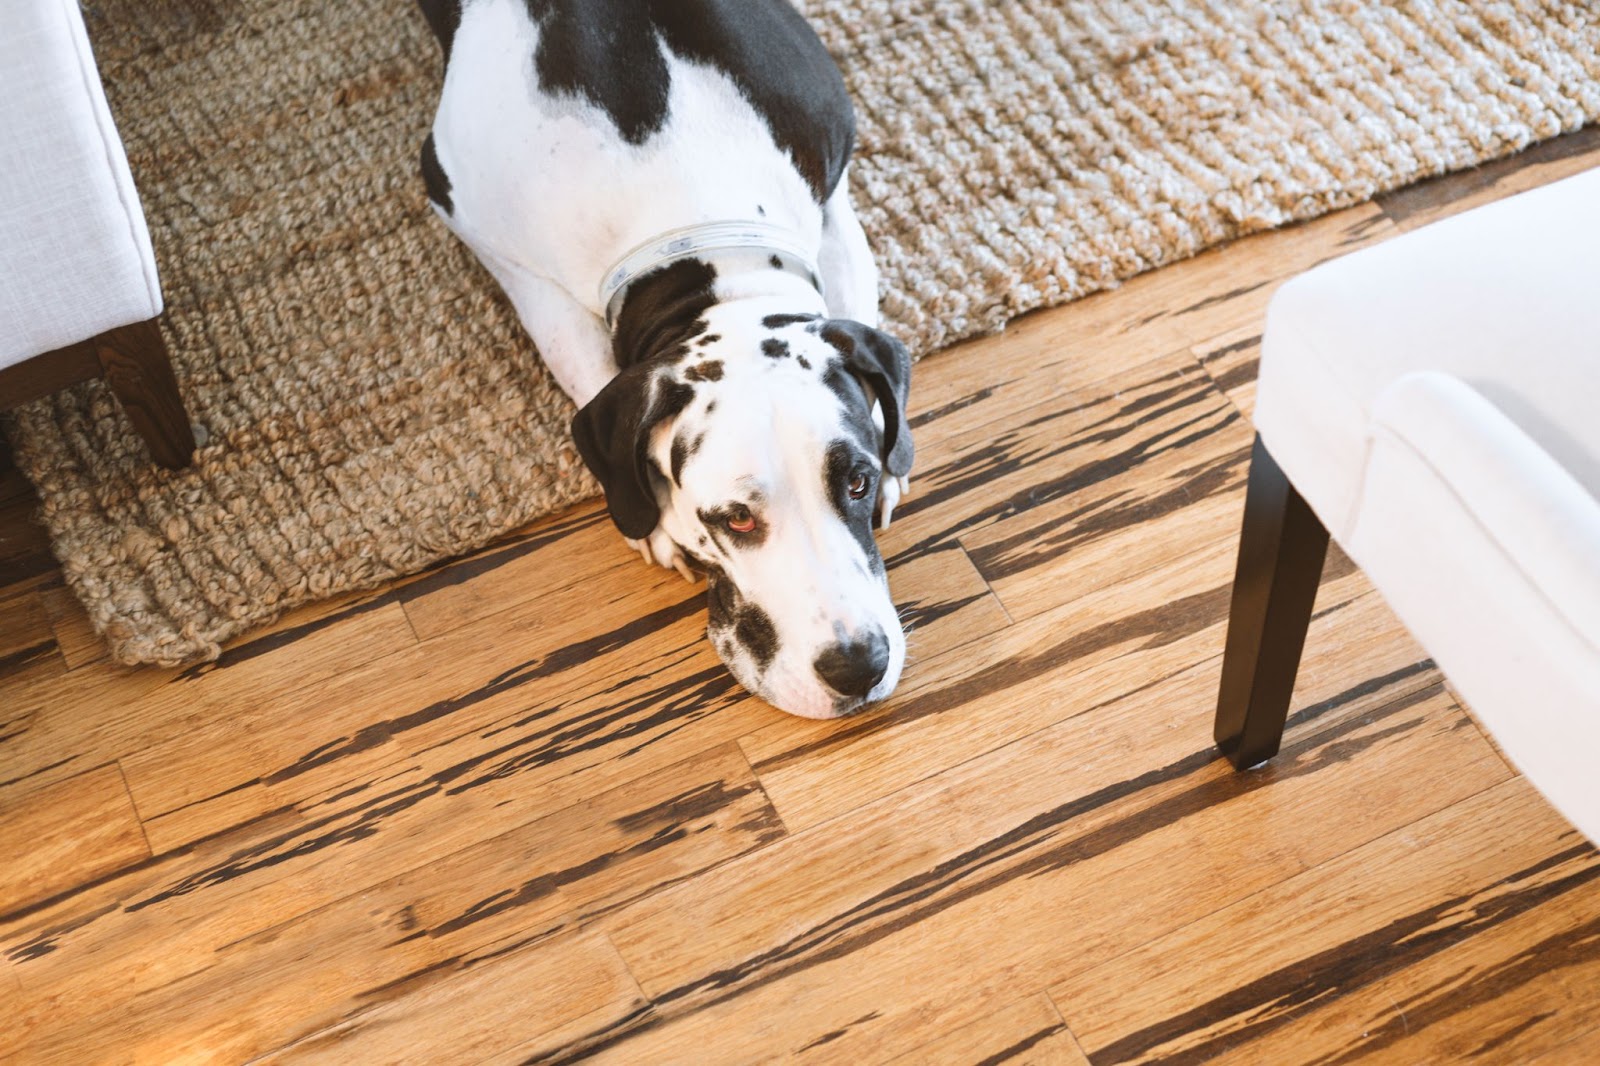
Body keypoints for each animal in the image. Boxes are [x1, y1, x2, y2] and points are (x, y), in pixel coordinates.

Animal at [412, 0, 915, 717]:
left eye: (856, 482)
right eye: (735, 518)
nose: (858, 667)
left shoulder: (831, 194)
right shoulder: (490, 235)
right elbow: (582, 364)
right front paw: (649, 520)